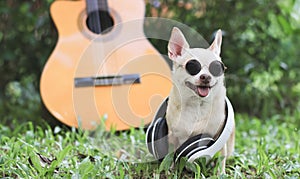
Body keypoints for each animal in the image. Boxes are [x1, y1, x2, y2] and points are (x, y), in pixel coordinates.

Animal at [166, 27, 234, 173]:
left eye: (216, 68)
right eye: (192, 67)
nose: (206, 77)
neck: (196, 104)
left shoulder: (219, 137)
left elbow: (221, 156)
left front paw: (221, 173)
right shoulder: (172, 135)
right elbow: (171, 154)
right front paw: (171, 170)